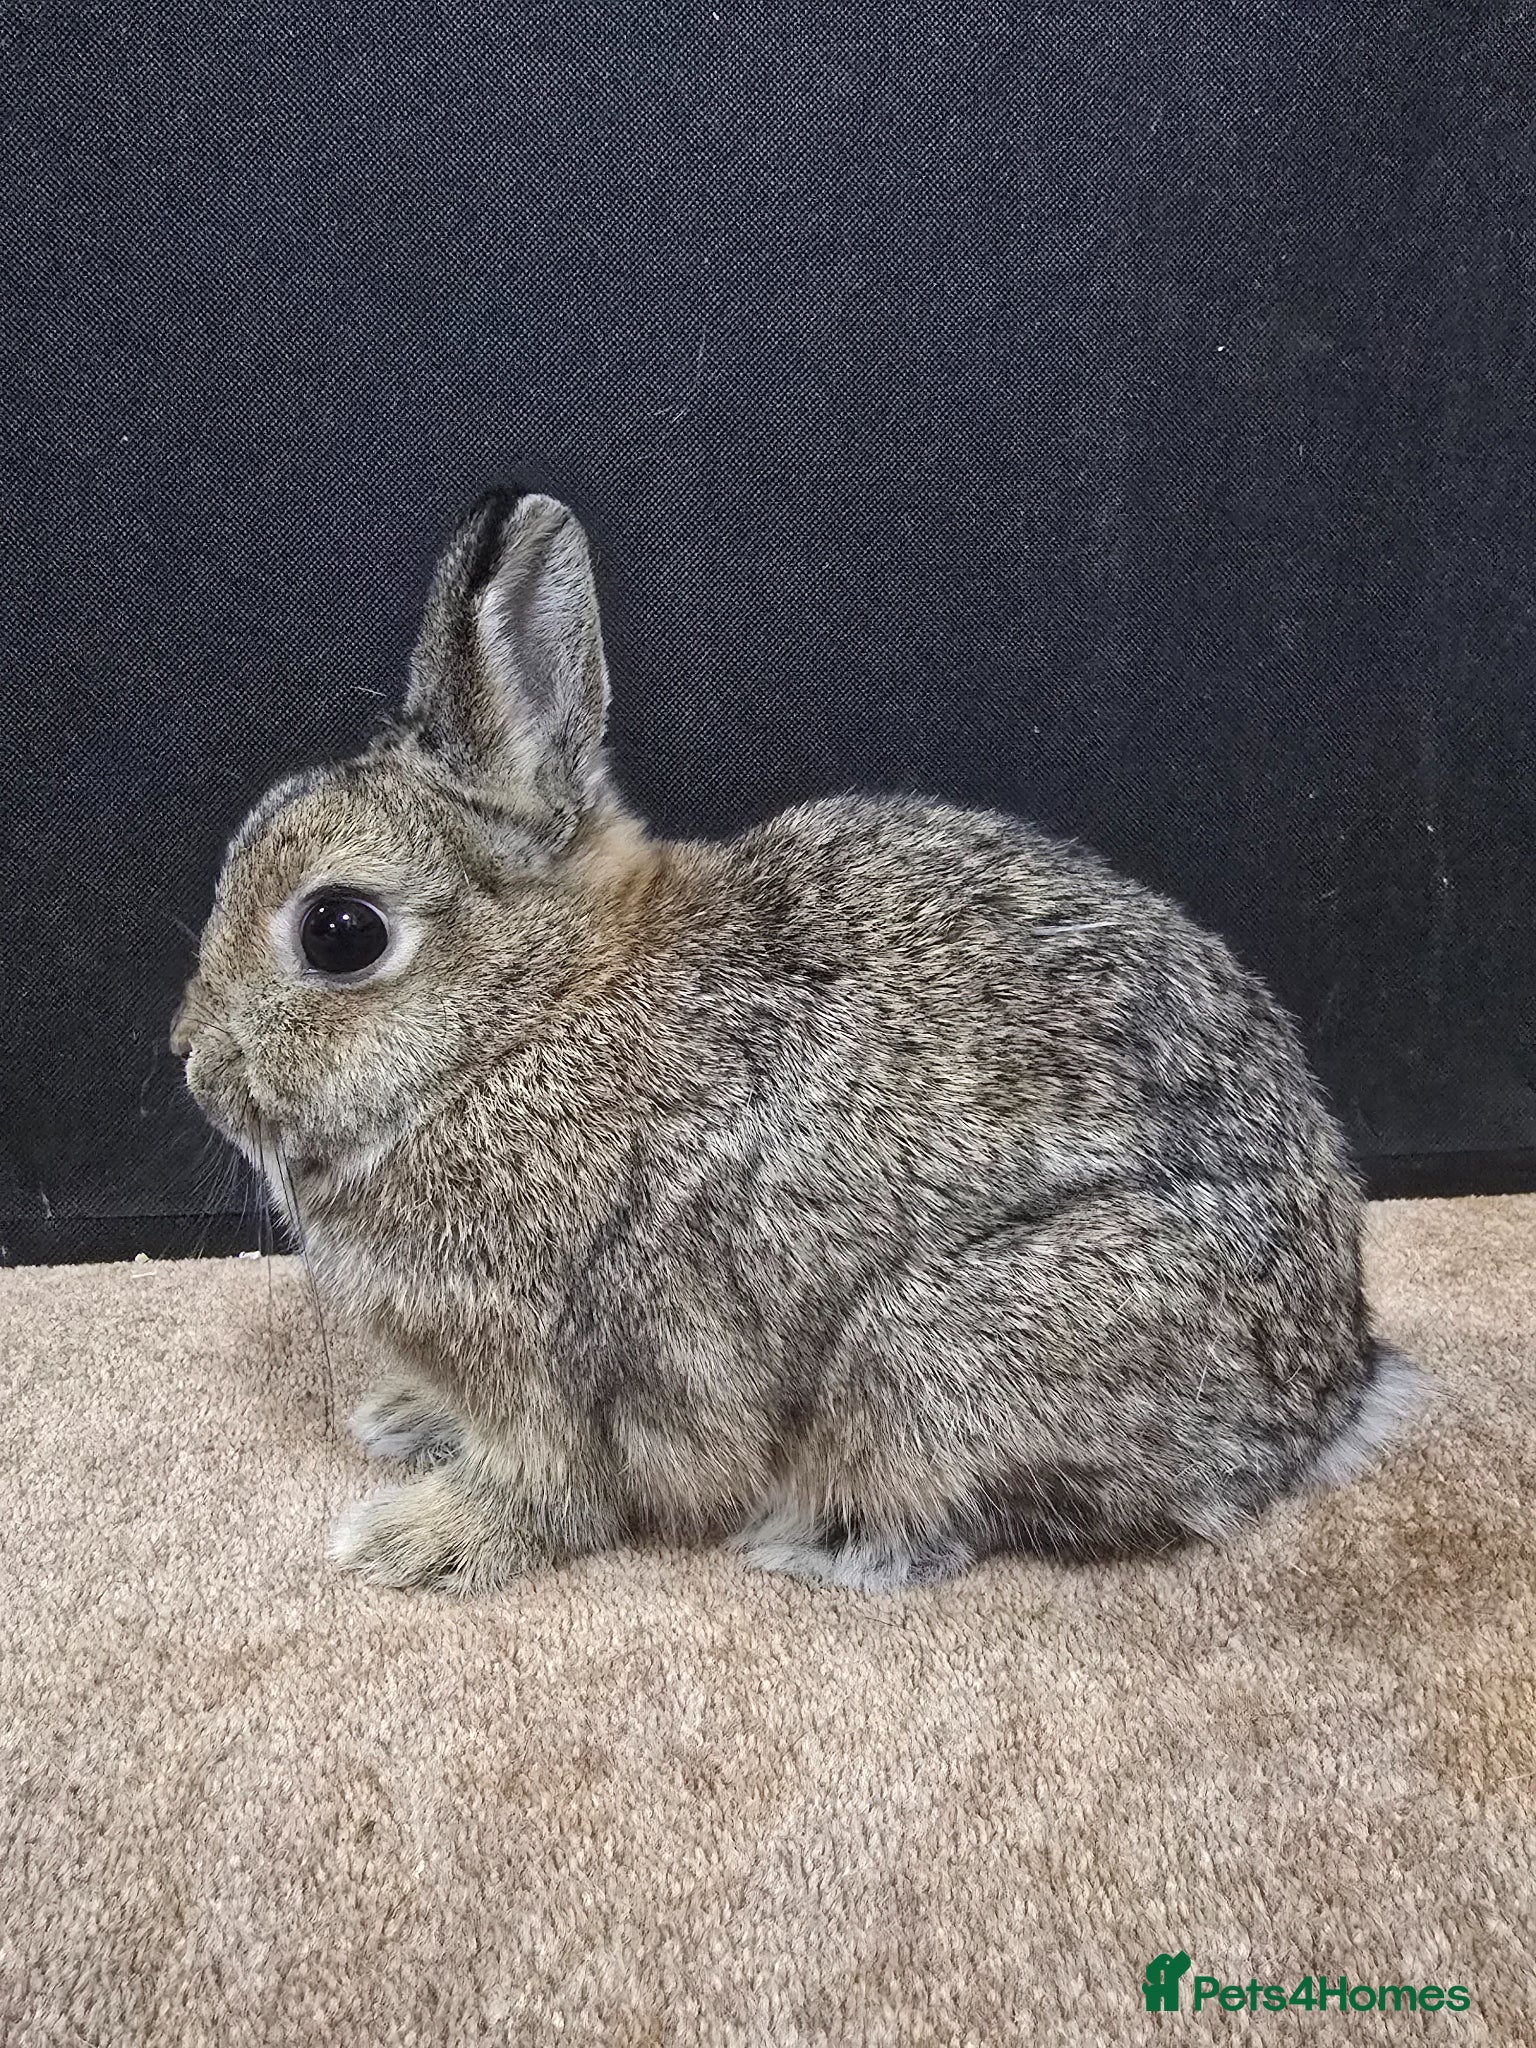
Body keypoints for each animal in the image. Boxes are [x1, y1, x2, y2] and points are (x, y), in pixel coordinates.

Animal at [172, 489, 1418, 1595]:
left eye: (340, 931)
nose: (193, 1058)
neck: (521, 1021)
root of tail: (1330, 1393)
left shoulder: (549, 1373)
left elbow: (544, 1494)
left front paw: (408, 1543)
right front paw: (399, 1420)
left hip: (929, 1358)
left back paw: (812, 1543)